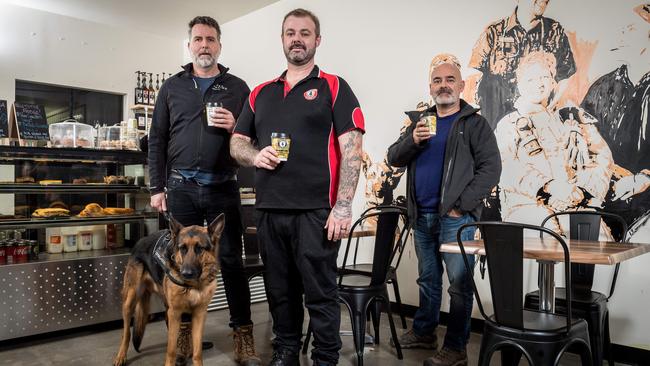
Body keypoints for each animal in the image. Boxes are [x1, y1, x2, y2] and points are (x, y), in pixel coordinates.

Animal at [112, 214, 223, 366]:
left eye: (200, 248)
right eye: (182, 248)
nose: (186, 273)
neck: (193, 285)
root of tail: (140, 241)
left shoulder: (199, 314)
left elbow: (197, 351)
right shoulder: (175, 313)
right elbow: (170, 350)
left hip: (166, 309)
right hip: (130, 301)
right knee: (126, 333)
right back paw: (121, 356)